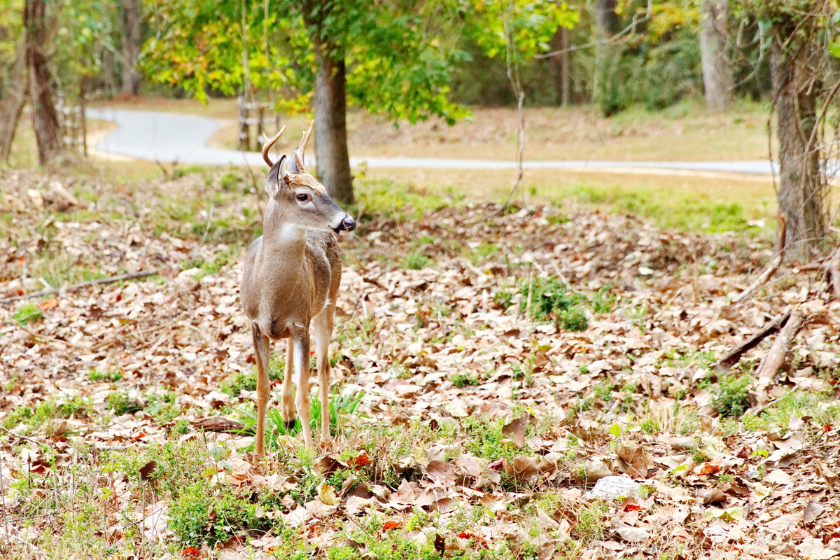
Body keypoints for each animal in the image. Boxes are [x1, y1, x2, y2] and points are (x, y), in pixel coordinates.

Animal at [240, 122, 354, 456]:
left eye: (325, 189)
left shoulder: (302, 324)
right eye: (303, 195)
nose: (348, 221)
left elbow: (307, 393)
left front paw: (312, 454)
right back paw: (287, 415)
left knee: (325, 367)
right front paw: (258, 455)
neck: (271, 296)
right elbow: (261, 391)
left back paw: (325, 436)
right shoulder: (255, 325)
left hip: (327, 304)